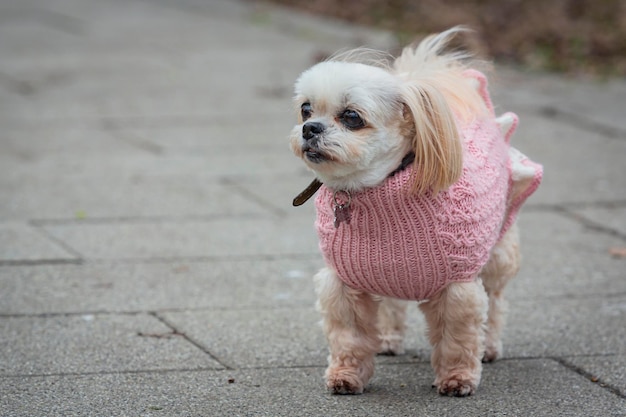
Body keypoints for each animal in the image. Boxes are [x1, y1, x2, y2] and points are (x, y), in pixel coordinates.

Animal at [288, 27, 540, 394]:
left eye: (351, 117)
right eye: (306, 110)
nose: (310, 128)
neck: (375, 190)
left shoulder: (457, 288)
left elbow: (457, 339)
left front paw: (457, 378)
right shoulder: (343, 285)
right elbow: (349, 337)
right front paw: (346, 375)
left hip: (498, 254)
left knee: (495, 302)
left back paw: (490, 347)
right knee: (391, 302)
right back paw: (386, 339)